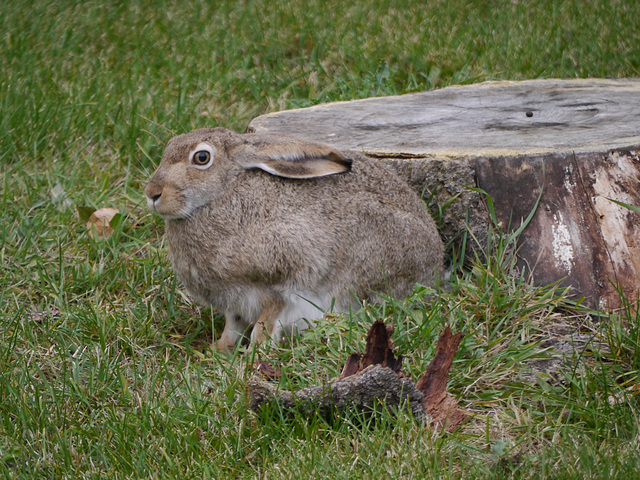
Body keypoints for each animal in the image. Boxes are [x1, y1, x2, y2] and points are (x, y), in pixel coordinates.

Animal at [147, 127, 442, 352]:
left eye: (202, 157)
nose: (152, 193)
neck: (223, 192)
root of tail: (435, 265)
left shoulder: (282, 280)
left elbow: (264, 324)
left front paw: (252, 356)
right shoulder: (234, 302)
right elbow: (232, 328)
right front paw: (218, 351)